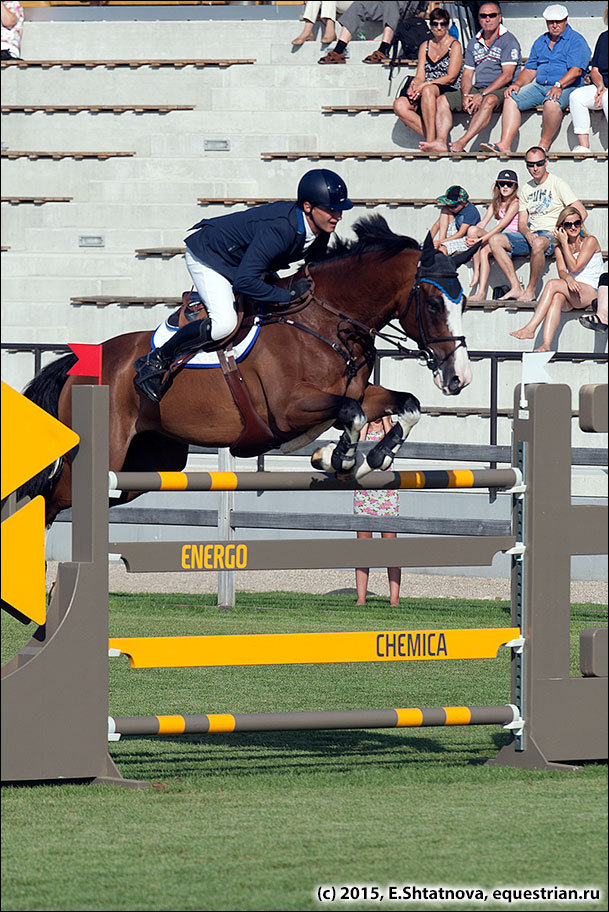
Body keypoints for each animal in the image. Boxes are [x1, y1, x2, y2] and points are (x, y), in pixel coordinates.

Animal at [20, 217, 476, 527]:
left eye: (465, 302)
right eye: (433, 303)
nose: (458, 378)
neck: (328, 321)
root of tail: (78, 364)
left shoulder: (357, 392)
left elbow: (405, 405)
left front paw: (371, 459)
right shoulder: (288, 409)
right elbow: (352, 413)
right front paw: (339, 457)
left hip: (146, 467)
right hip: (105, 456)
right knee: (48, 500)